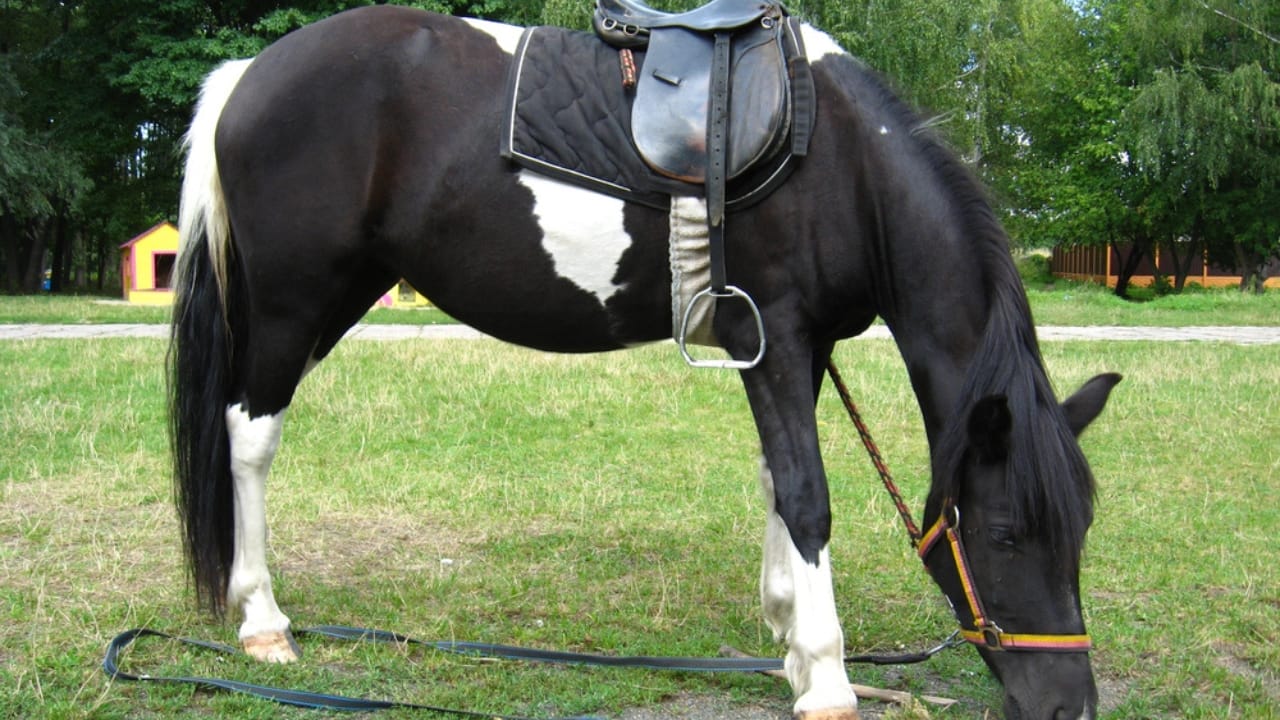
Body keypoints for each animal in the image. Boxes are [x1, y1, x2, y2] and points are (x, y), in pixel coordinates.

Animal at [170, 5, 1120, 719]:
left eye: (1080, 532)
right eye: (1005, 534)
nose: (1069, 705)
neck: (842, 162)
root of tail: (247, 73)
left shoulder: (798, 346)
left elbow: (776, 479)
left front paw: (787, 639)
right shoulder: (775, 333)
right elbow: (807, 496)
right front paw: (826, 675)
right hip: (294, 305)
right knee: (249, 437)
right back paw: (263, 620)